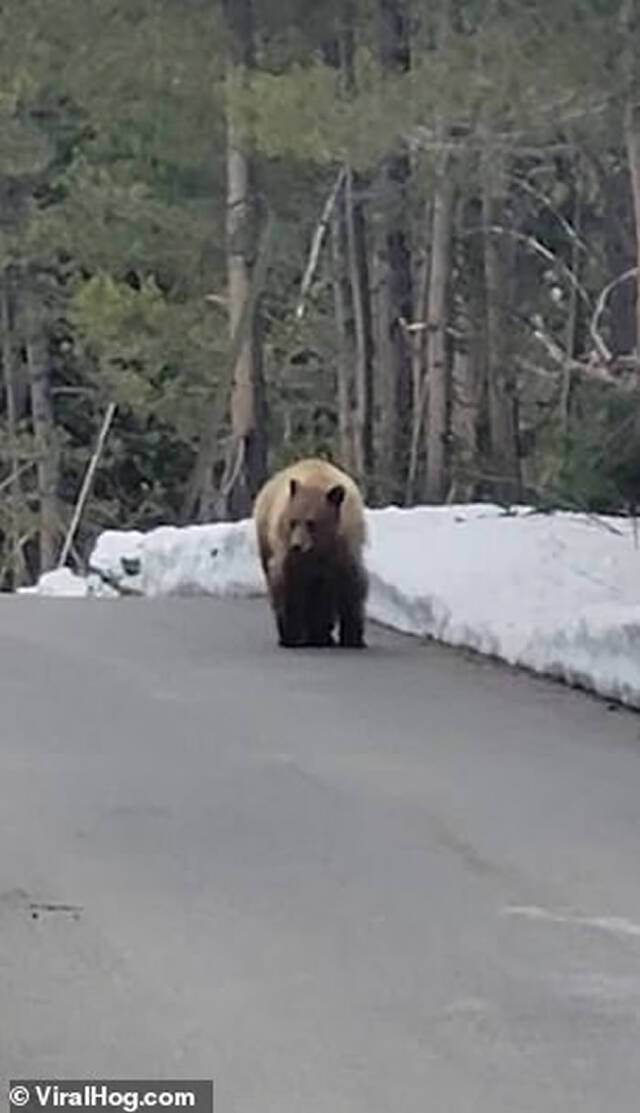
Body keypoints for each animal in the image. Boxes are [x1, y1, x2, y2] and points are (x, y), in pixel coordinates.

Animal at [252, 456, 367, 649]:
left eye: (311, 523)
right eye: (293, 521)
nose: (297, 545)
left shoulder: (343, 550)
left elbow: (351, 588)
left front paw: (352, 637)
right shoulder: (288, 555)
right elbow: (289, 587)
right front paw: (291, 635)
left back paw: (322, 634)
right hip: (265, 540)